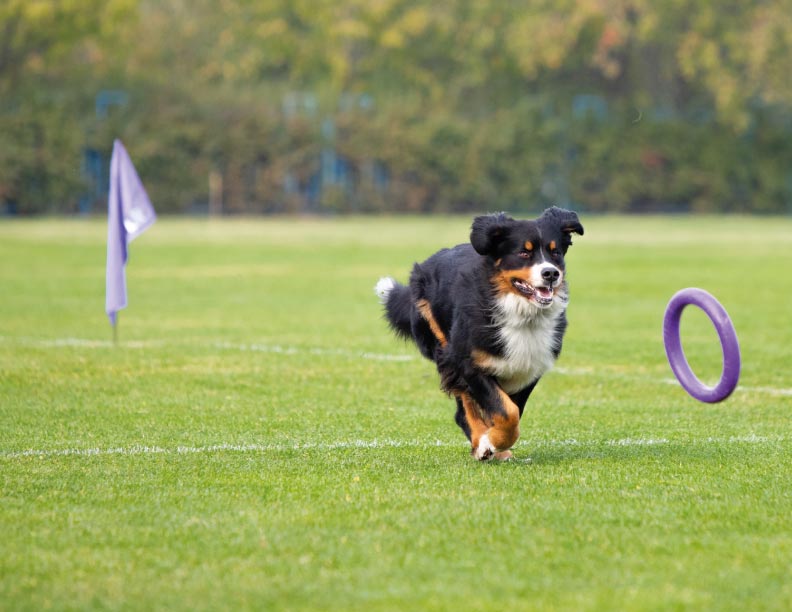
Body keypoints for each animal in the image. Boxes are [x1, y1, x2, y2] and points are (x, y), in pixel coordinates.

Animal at [374, 208, 584, 462]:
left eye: (555, 253)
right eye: (524, 252)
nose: (551, 273)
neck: (521, 313)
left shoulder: (528, 368)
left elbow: (512, 411)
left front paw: (497, 443)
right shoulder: (469, 364)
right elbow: (507, 412)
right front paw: (490, 442)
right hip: (445, 349)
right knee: (464, 408)